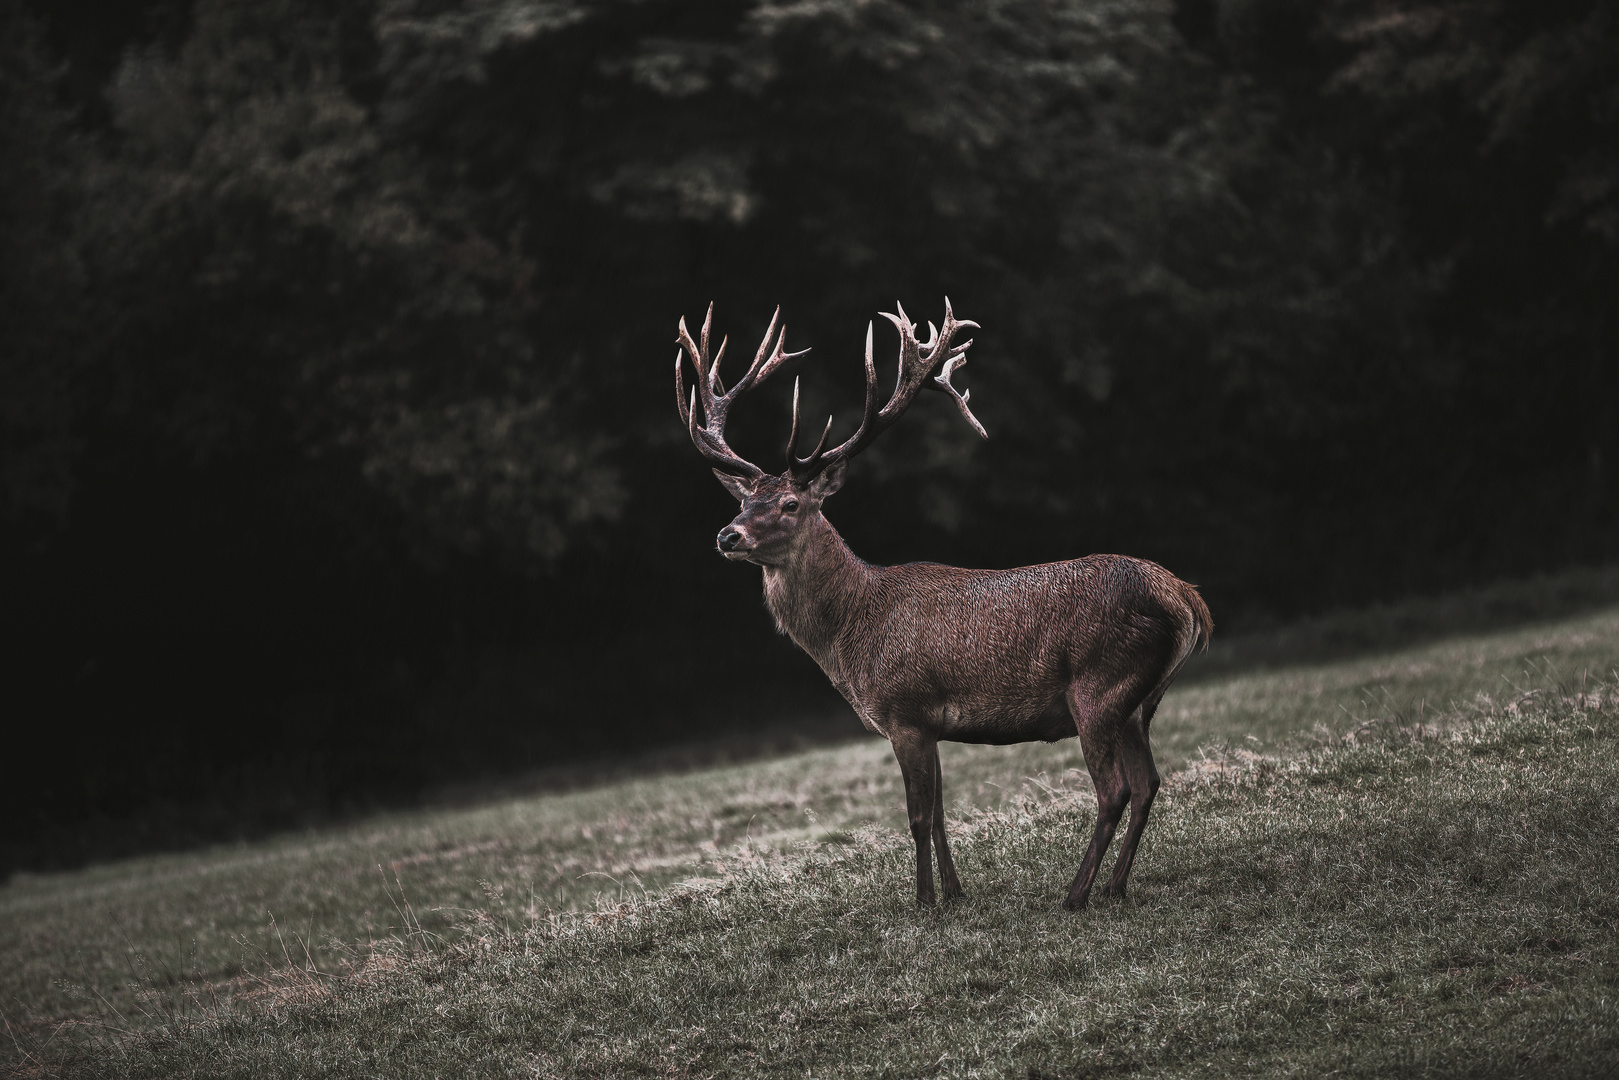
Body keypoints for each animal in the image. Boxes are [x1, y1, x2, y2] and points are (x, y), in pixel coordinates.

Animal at [673, 299, 1217, 906]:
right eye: (745, 500)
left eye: (791, 503)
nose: (728, 535)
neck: (851, 636)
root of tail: (1185, 598)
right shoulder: (929, 722)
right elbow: (938, 813)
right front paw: (954, 892)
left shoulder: (903, 709)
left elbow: (915, 816)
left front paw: (923, 901)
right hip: (1139, 702)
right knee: (1148, 784)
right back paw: (1115, 888)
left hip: (1099, 685)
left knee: (1115, 789)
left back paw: (1075, 893)